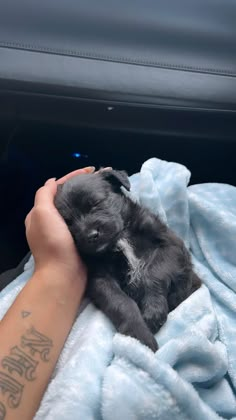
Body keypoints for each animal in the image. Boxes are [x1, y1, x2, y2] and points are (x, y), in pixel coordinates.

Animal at [55, 170, 201, 352]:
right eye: (68, 222)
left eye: (96, 203)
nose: (91, 236)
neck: (119, 239)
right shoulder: (100, 279)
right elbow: (121, 302)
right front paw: (140, 337)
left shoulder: (170, 245)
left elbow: (153, 274)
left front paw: (153, 310)